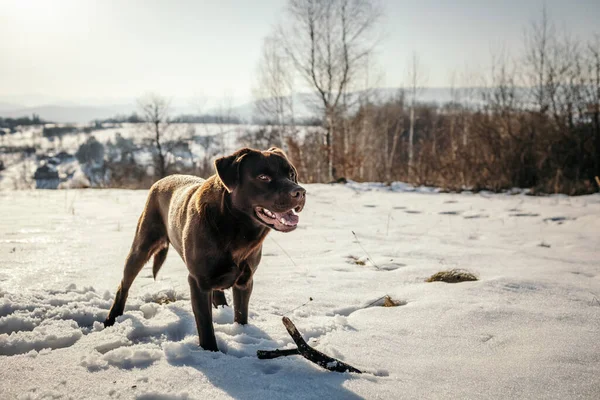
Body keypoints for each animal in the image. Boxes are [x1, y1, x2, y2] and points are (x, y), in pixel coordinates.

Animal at [103, 147, 308, 350]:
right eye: (263, 177)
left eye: (291, 174)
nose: (300, 192)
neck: (234, 227)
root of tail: (161, 180)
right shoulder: (198, 281)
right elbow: (205, 324)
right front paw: (211, 351)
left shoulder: (245, 280)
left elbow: (241, 314)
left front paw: (241, 333)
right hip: (142, 246)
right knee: (124, 285)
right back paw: (111, 319)